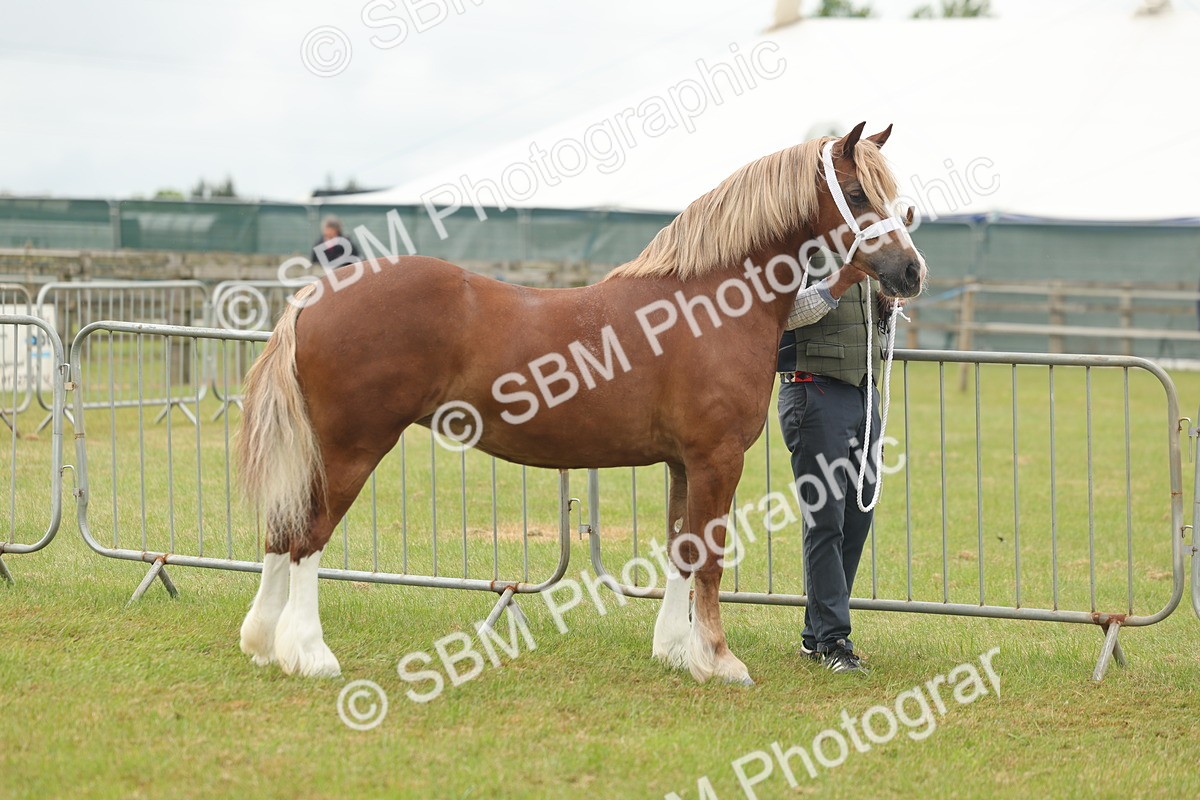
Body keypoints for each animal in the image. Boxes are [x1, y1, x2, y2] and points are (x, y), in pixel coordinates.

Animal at [236, 122, 926, 685]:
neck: (709, 303)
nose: (910, 274)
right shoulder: (717, 457)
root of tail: (315, 296)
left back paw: (264, 644)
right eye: (857, 194)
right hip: (351, 449)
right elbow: (708, 558)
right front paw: (720, 661)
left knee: (283, 531)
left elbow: (680, 550)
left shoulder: (682, 463)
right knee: (308, 538)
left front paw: (676, 652)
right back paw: (311, 655)